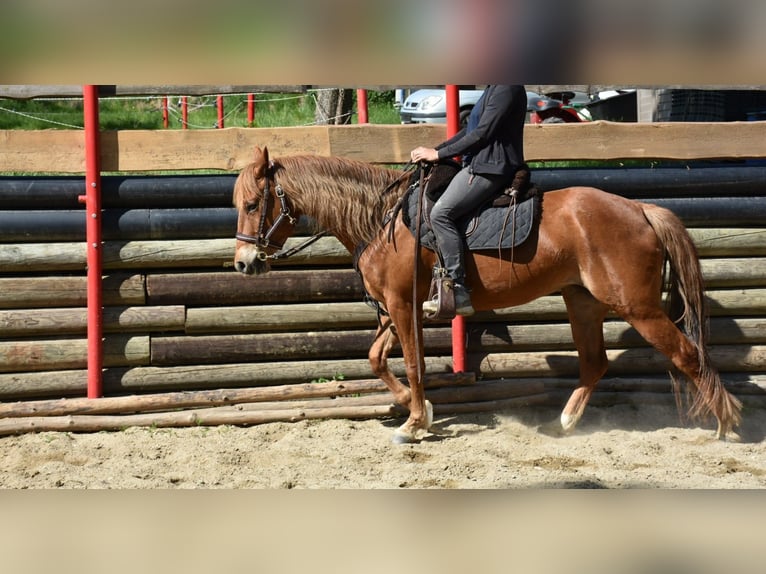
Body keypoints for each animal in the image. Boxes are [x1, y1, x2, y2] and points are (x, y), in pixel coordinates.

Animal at [233, 146, 742, 444]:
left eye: (254, 204)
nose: (243, 263)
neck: (383, 220)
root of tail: (639, 208)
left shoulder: (401, 305)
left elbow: (413, 364)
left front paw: (414, 424)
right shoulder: (397, 308)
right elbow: (377, 359)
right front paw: (415, 406)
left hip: (637, 307)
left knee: (688, 355)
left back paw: (725, 425)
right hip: (581, 301)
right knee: (595, 363)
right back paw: (565, 422)